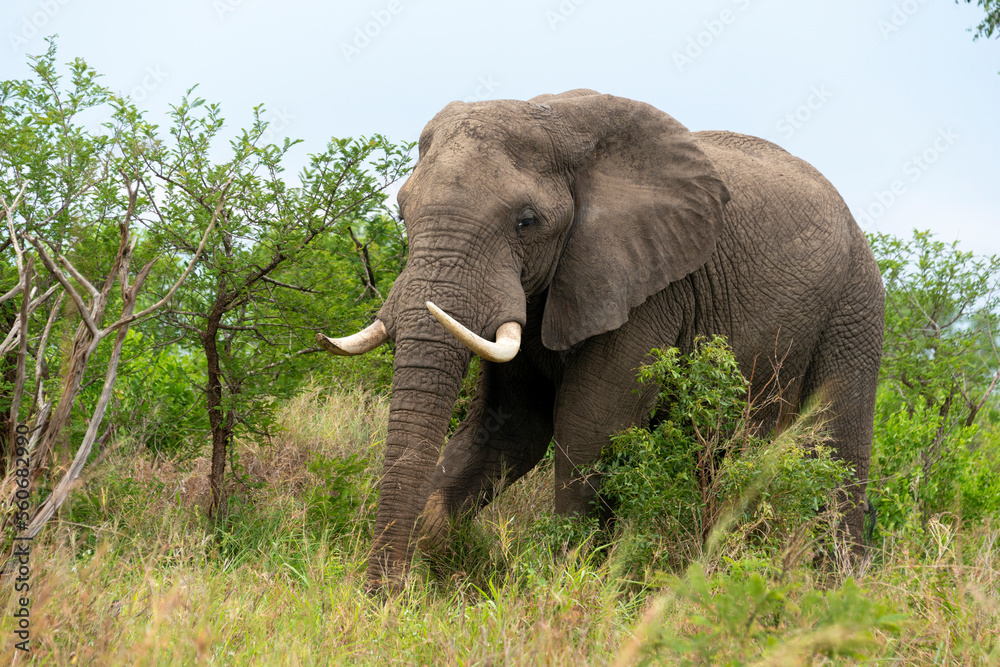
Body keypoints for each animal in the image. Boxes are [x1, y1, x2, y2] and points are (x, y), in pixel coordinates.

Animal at [318, 87, 884, 588]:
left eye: (526, 222)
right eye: (402, 212)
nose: (383, 595)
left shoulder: (650, 286)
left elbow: (591, 423)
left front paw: (567, 581)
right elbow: (512, 426)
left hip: (856, 307)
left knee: (834, 446)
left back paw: (834, 589)